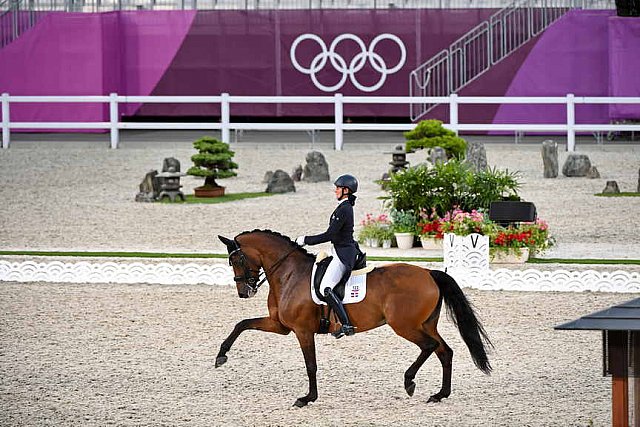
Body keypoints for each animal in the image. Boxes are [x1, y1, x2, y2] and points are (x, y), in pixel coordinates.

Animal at [218, 231, 492, 408]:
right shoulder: (280, 326)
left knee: (430, 346)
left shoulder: (302, 331)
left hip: (405, 326)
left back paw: (409, 381)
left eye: (236, 259)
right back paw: (440, 394)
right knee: (444, 351)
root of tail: (428, 273)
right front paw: (221, 356)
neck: (289, 274)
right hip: (424, 324)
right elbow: (241, 324)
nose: (244, 292)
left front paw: (307, 398)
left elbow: (311, 365)